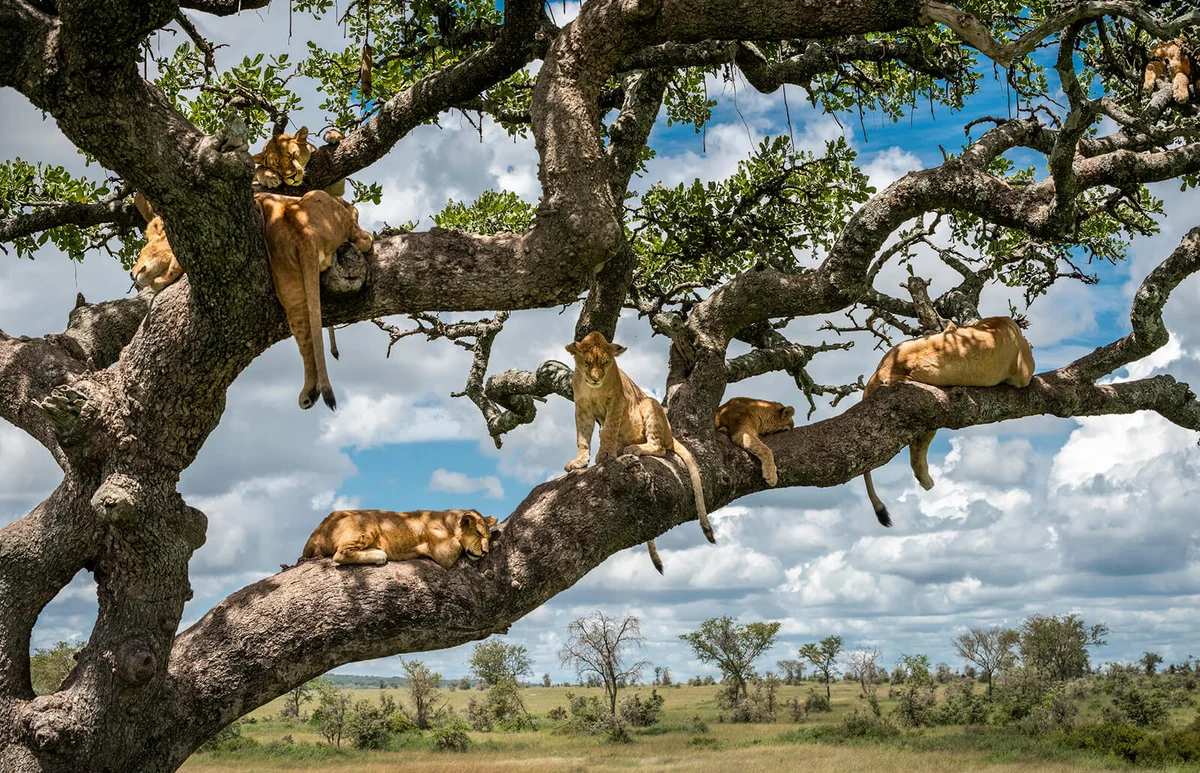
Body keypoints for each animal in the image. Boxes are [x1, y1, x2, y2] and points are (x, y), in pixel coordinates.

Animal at [301, 508, 499, 568]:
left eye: (488, 537)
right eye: (478, 533)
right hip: (367, 520)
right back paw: (379, 555)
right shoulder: (444, 553)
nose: (485, 552)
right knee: (340, 554)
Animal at [564, 331, 713, 573]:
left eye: (605, 363)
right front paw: (580, 461)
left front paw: (604, 455)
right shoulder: (582, 407)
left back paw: (632, 448)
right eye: (587, 363)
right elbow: (582, 438)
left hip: (649, 404)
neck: (594, 390)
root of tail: (671, 435)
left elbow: (609, 429)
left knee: (659, 447)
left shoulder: (617, 402)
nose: (595, 379)